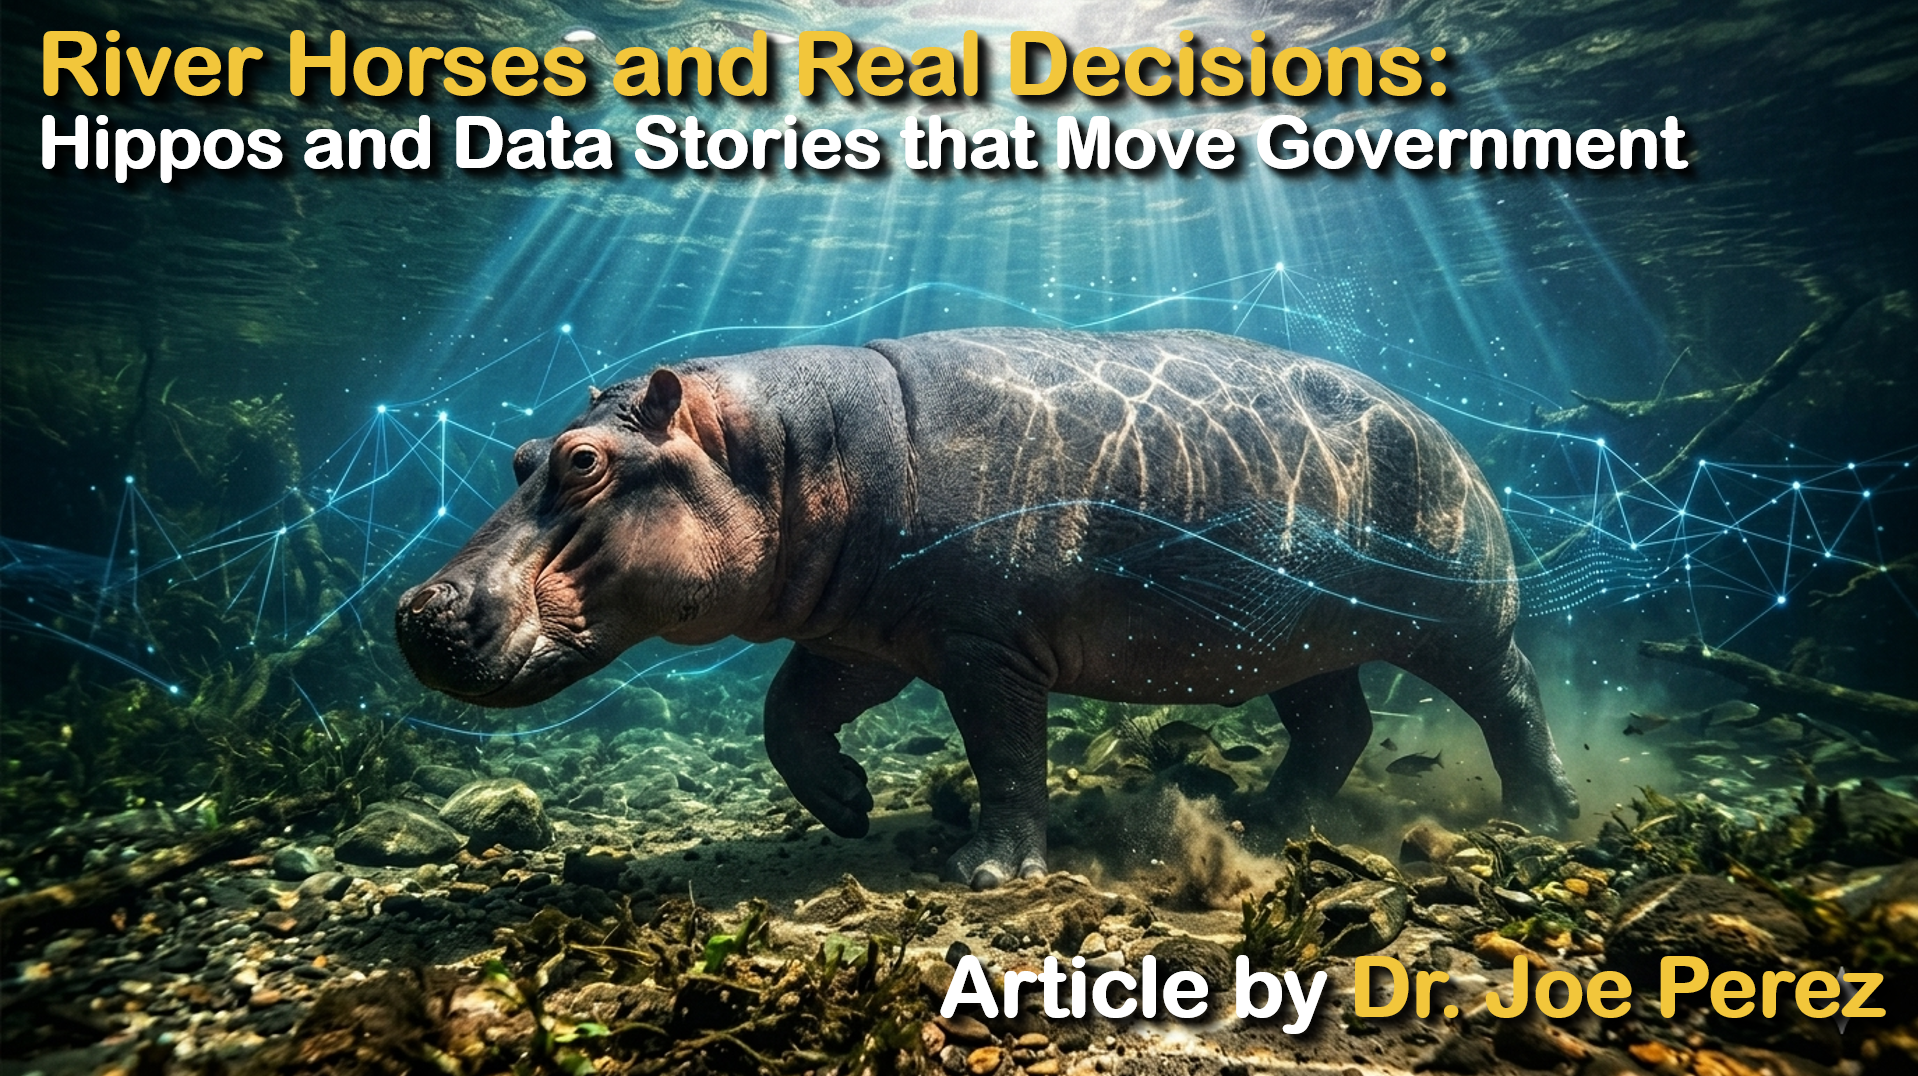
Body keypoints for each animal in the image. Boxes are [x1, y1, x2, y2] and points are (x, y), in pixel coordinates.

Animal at [396, 329, 1579, 888]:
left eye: (584, 461)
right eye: (519, 454)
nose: (414, 609)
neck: (786, 453)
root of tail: (1450, 431)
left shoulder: (983, 647)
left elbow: (1008, 756)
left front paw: (985, 870)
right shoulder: (862, 633)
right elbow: (786, 714)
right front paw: (848, 806)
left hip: (1457, 619)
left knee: (1510, 694)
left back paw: (1543, 813)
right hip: (1295, 633)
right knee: (1335, 723)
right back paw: (1264, 821)